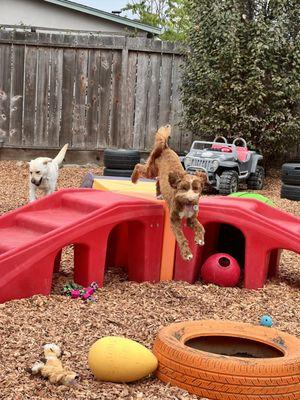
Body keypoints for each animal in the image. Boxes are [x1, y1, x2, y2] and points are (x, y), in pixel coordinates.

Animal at [132, 125, 207, 262]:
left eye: (196, 189)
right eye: (183, 188)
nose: (190, 200)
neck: (185, 205)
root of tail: (165, 147)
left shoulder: (191, 218)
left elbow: (200, 227)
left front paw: (199, 239)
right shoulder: (174, 220)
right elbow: (181, 237)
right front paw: (186, 254)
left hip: (159, 174)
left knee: (158, 182)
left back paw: (159, 194)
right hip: (151, 170)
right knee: (138, 166)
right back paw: (133, 179)